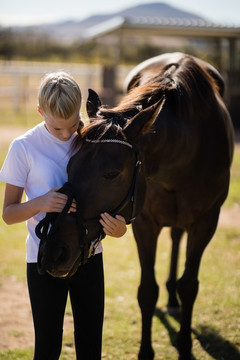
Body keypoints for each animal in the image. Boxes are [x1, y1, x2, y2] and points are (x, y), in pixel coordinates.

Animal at [36, 52, 233, 358]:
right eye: (70, 165)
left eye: (111, 174)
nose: (54, 252)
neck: (187, 149)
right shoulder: (144, 223)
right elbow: (147, 291)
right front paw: (145, 351)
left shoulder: (206, 222)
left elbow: (189, 286)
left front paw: (185, 345)